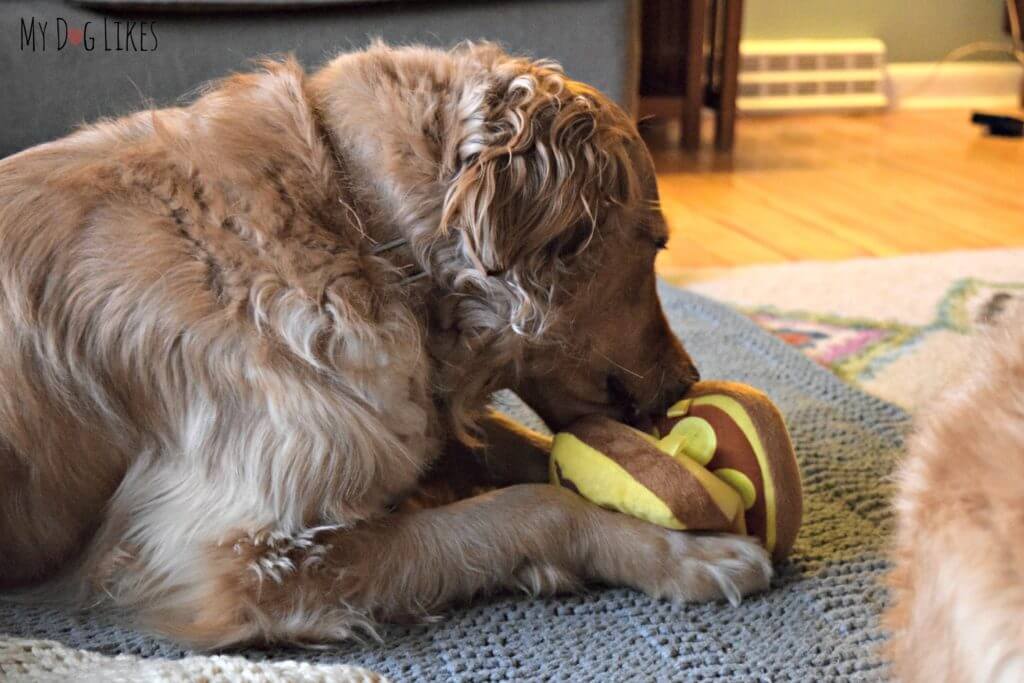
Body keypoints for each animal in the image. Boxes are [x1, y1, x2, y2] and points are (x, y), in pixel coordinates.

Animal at [0, 40, 770, 651]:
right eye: (654, 245)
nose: (687, 384)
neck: (357, 221)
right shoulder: (231, 558)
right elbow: (533, 507)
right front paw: (686, 552)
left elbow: (529, 450)